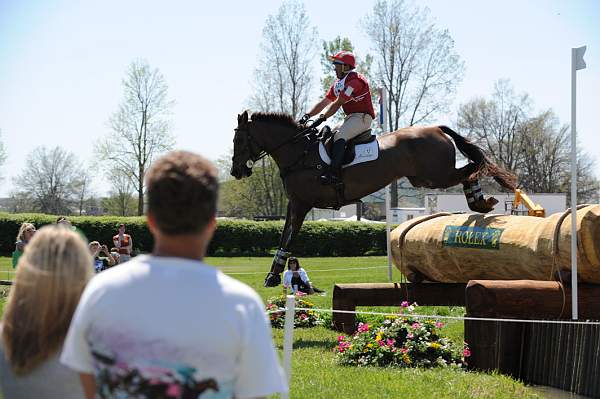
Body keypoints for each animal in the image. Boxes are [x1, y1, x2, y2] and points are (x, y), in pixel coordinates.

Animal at [230, 111, 516, 286]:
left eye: (239, 140)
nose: (236, 171)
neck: (299, 153)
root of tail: (436, 128)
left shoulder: (301, 204)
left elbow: (288, 238)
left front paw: (273, 275)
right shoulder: (294, 204)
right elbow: (284, 236)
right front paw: (273, 274)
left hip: (435, 176)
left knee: (471, 168)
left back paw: (480, 202)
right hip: (423, 178)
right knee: (469, 169)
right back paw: (479, 203)